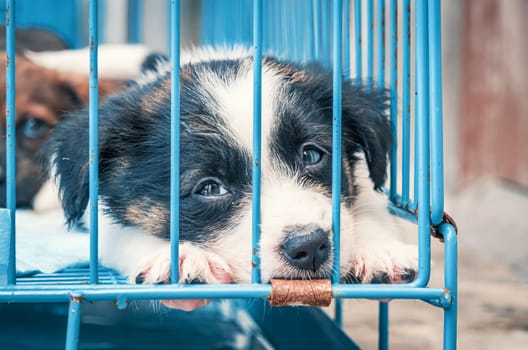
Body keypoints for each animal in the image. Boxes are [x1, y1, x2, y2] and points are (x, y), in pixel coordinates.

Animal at [46, 48, 416, 308]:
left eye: (312, 155)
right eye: (210, 187)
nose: (310, 246)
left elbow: (368, 208)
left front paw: (381, 250)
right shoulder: (97, 219)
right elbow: (122, 234)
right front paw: (179, 257)